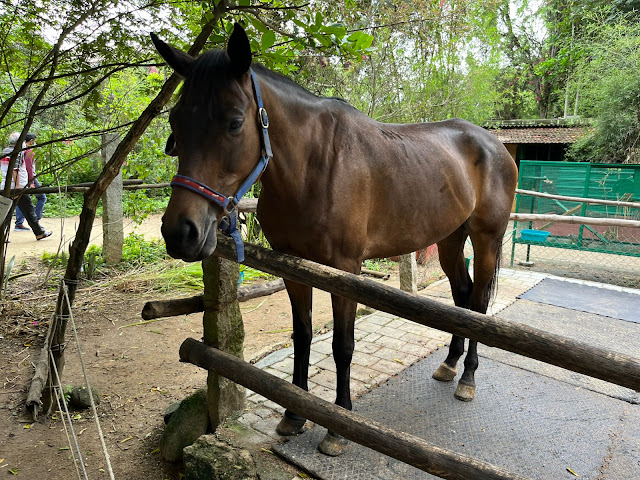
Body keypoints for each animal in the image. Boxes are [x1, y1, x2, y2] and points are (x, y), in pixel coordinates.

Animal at [152, 24, 516, 456]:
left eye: (235, 122)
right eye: (175, 122)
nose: (180, 232)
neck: (315, 165)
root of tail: (495, 146)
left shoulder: (345, 271)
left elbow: (343, 346)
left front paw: (338, 426)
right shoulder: (293, 266)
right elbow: (303, 337)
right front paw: (294, 414)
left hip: (486, 239)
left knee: (478, 304)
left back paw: (467, 378)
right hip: (449, 240)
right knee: (461, 297)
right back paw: (449, 364)